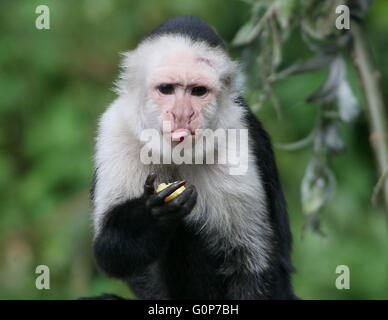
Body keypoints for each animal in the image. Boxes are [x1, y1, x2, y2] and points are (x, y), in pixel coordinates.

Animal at [88, 15, 298, 300]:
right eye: (167, 89)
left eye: (198, 91)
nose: (181, 114)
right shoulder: (116, 128)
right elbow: (108, 252)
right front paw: (153, 216)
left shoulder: (236, 140)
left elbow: (250, 266)